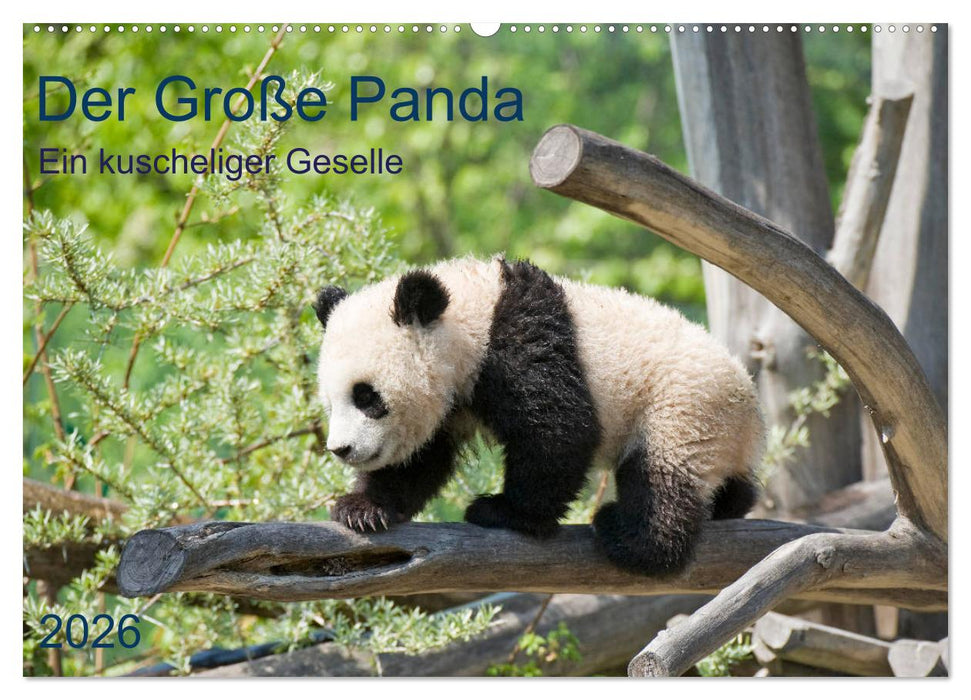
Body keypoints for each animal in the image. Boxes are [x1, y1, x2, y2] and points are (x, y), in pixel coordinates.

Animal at [313, 256, 764, 575]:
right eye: (332, 403)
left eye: (366, 396)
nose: (342, 449)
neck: (472, 313)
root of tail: (750, 407)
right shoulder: (454, 398)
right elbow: (421, 458)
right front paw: (364, 508)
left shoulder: (520, 343)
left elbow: (558, 430)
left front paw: (505, 513)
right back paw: (731, 502)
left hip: (683, 405)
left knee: (663, 477)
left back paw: (632, 538)